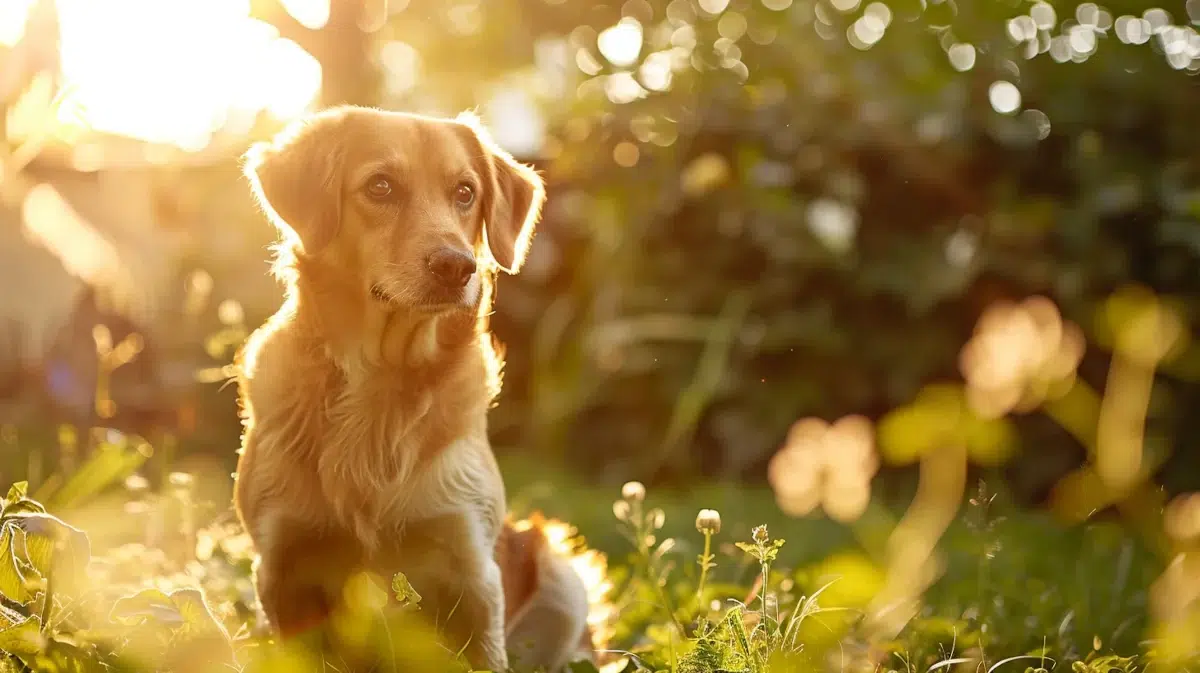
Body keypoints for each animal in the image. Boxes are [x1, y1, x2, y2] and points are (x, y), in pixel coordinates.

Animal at [228, 107, 600, 667]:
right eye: (380, 186)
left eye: (465, 192)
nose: (456, 266)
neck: (381, 379)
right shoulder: (282, 567)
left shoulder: (473, 569)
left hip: (560, 573)